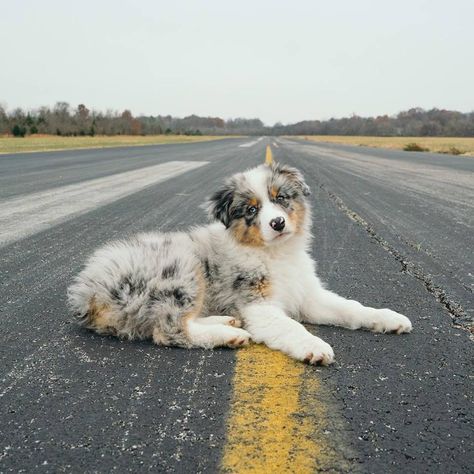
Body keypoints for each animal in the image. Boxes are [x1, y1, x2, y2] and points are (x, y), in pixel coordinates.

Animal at [66, 161, 412, 364]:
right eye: (251, 210)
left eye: (281, 198)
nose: (277, 223)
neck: (276, 253)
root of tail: (87, 292)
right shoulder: (257, 304)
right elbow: (290, 325)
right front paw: (313, 346)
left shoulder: (309, 296)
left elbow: (351, 308)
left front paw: (389, 318)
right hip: (180, 270)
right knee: (169, 330)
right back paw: (228, 335)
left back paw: (226, 322)